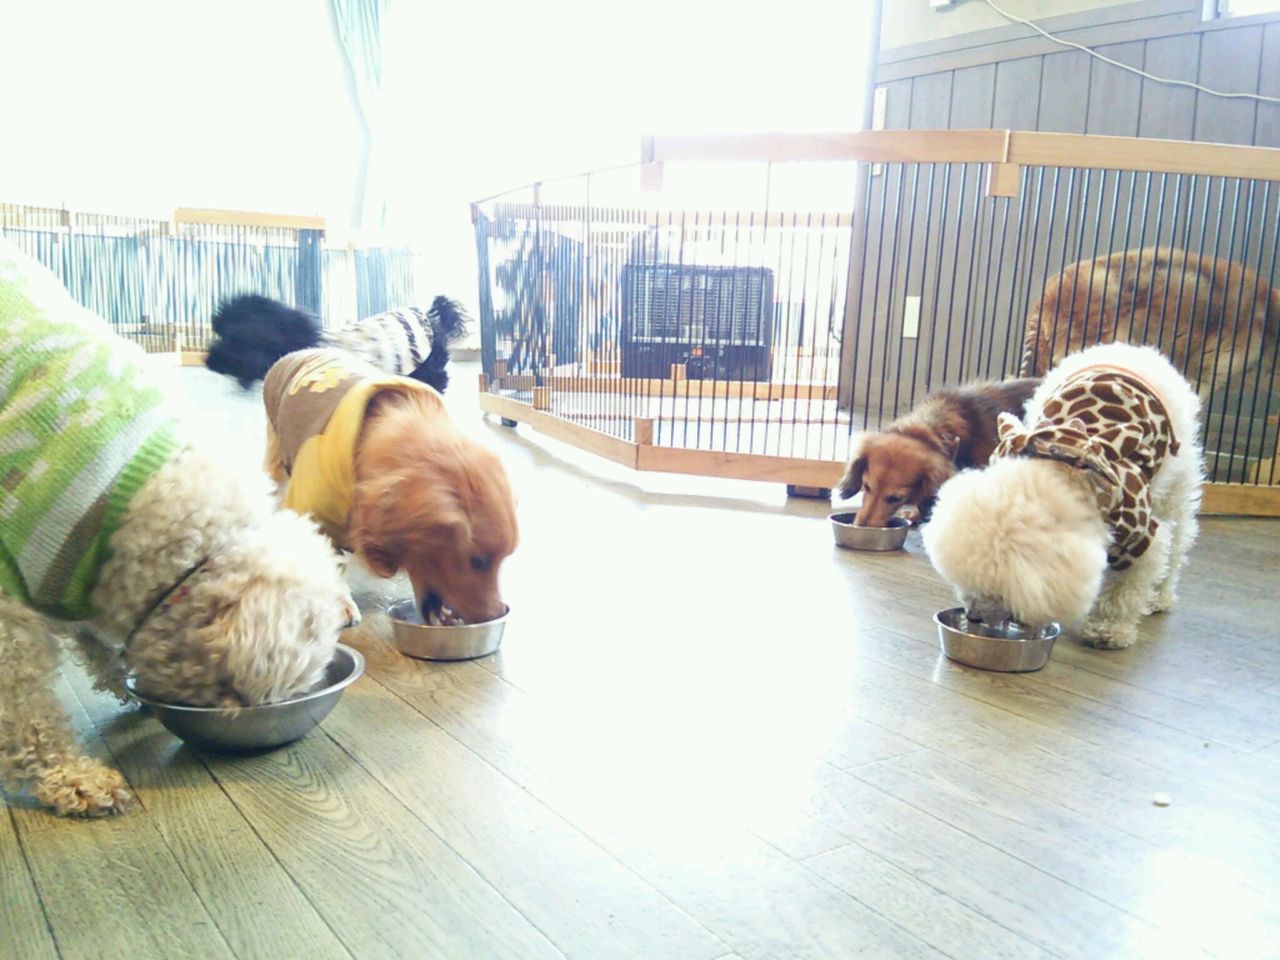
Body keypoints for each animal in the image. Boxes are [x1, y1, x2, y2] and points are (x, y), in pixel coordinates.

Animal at [924, 342, 1203, 650]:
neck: (1064, 461)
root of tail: (1131, 348)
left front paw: (1109, 629)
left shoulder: (1139, 535)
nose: (972, 616)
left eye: (995, 591)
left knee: (1177, 543)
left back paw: (1160, 596)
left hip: (1176, 485)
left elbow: (1126, 589)